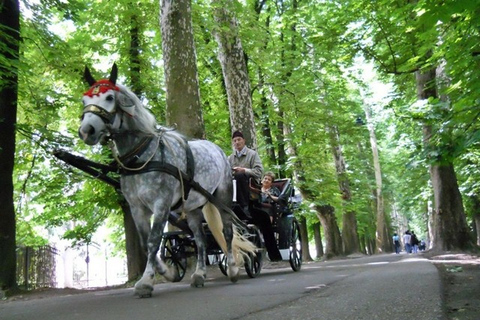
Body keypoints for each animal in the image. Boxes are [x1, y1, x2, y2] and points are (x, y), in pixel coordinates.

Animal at [78, 63, 256, 298]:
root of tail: (217, 149)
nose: (86, 131)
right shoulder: (137, 208)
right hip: (192, 207)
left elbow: (154, 240)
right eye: (84, 100)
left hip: (223, 198)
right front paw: (168, 272)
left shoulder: (161, 204)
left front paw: (146, 280)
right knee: (200, 239)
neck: (142, 157)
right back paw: (199, 275)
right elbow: (146, 242)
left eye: (109, 97)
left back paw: (233, 269)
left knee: (226, 231)